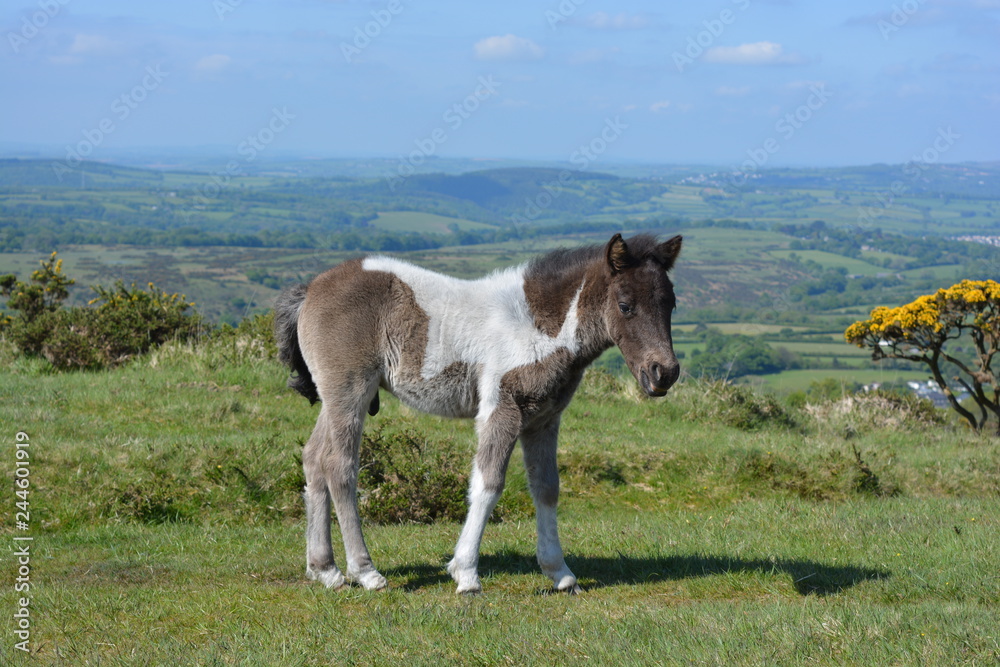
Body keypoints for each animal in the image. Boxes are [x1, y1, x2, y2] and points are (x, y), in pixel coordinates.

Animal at [274, 232, 682, 594]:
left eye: (671, 304)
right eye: (625, 305)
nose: (664, 372)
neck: (535, 325)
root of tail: (310, 289)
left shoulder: (544, 419)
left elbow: (547, 488)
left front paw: (561, 573)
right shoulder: (502, 409)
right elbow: (488, 483)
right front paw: (466, 573)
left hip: (333, 397)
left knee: (313, 458)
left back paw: (325, 570)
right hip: (350, 391)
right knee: (339, 466)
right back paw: (365, 572)